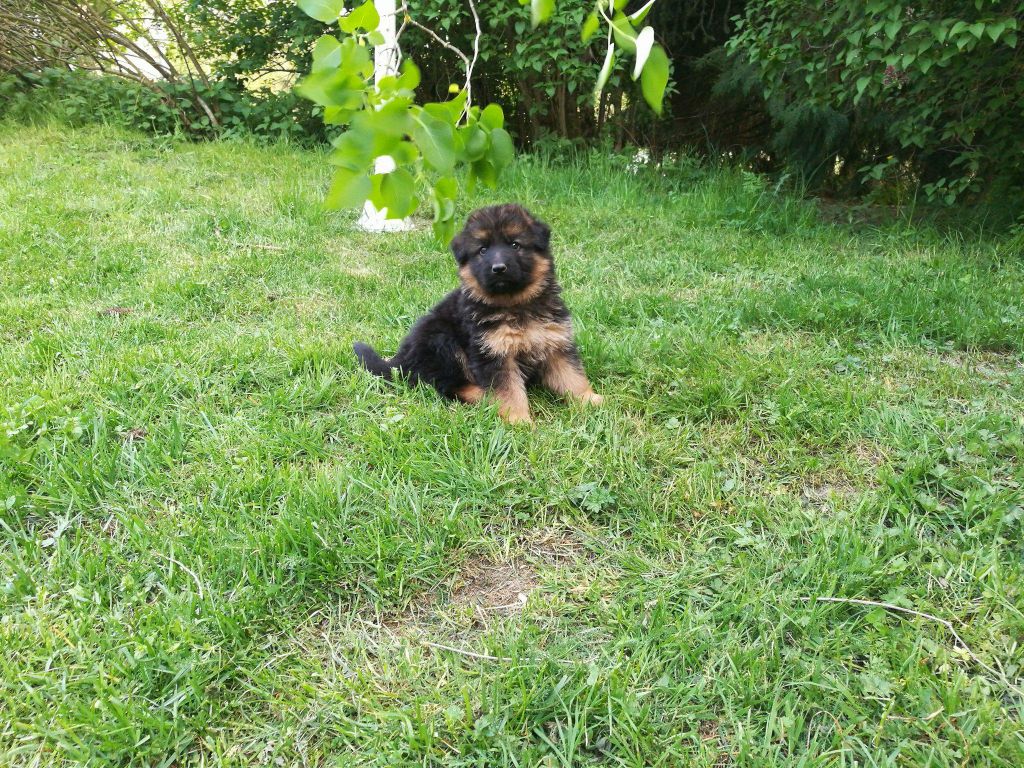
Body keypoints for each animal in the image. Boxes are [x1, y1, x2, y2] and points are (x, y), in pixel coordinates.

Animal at [353, 203, 602, 424]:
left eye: (515, 245)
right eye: (483, 250)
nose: (498, 268)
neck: (515, 304)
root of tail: (401, 363)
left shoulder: (555, 343)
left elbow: (572, 376)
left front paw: (589, 400)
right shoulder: (493, 354)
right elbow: (509, 391)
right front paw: (518, 420)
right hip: (441, 341)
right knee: (447, 385)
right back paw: (485, 398)